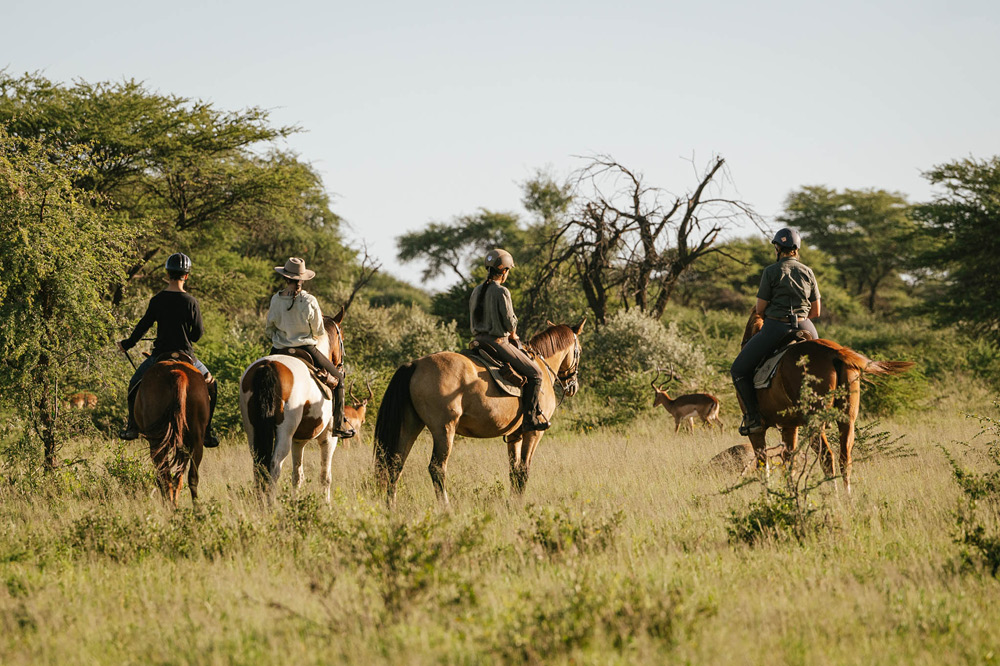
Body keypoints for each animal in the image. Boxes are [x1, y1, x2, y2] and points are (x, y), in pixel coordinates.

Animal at [133, 358, 211, 504]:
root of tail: (176, 372)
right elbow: (179, 478)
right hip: (196, 441)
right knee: (191, 477)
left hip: (157, 443)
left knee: (164, 477)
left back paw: (170, 505)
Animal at [237, 308, 344, 500]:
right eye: (342, 337)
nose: (340, 365)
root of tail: (268, 366)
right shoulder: (328, 438)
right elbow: (325, 477)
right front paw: (326, 503)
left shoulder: (298, 440)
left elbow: (297, 476)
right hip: (284, 433)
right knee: (274, 467)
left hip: (253, 431)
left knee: (259, 467)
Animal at [372, 320, 584, 506]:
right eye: (579, 351)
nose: (573, 386)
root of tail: (415, 365)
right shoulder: (533, 433)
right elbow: (523, 470)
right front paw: (519, 503)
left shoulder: (514, 435)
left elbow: (513, 471)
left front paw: (512, 502)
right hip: (444, 430)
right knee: (437, 468)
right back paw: (446, 507)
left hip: (409, 426)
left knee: (395, 465)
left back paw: (391, 506)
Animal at [744, 308, 916, 492]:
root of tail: (835, 352)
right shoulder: (789, 426)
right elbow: (788, 462)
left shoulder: (757, 431)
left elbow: (764, 466)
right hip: (847, 419)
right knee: (844, 458)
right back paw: (846, 495)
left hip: (815, 423)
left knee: (827, 457)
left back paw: (833, 494)